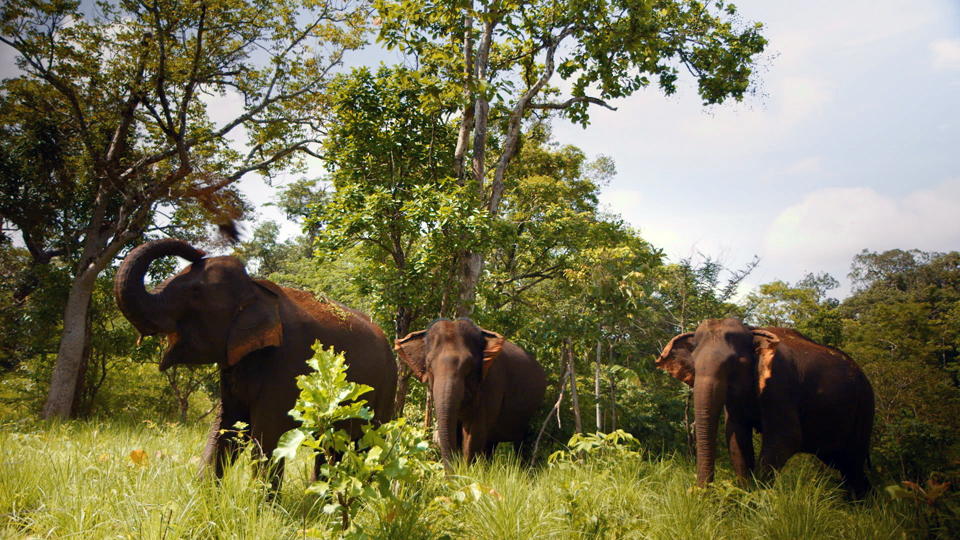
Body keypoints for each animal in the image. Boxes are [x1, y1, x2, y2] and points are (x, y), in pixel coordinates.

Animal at [113, 238, 398, 488]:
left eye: (195, 294)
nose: (198, 250)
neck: (255, 288)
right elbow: (225, 429)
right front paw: (203, 501)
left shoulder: (287, 366)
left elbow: (267, 438)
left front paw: (263, 510)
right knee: (331, 445)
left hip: (386, 387)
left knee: (367, 442)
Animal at [396, 318, 548, 470]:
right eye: (429, 365)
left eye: (468, 365)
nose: (449, 475)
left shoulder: (491, 385)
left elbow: (473, 434)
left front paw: (466, 474)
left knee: (521, 443)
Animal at [656, 316, 872, 498]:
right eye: (693, 363)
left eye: (735, 364)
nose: (702, 495)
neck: (753, 331)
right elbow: (736, 437)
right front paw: (743, 498)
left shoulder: (780, 380)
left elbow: (785, 438)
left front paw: (753, 501)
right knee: (844, 464)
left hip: (864, 409)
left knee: (852, 464)